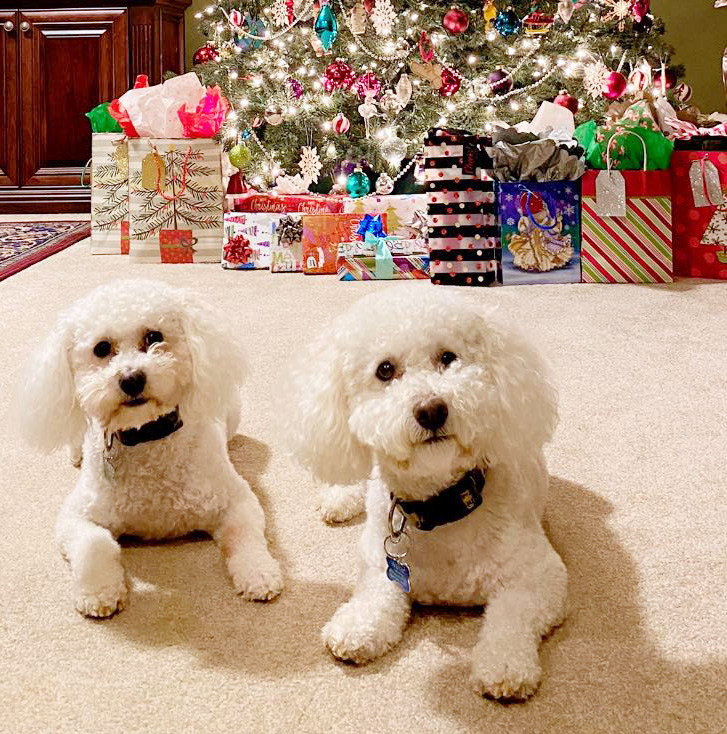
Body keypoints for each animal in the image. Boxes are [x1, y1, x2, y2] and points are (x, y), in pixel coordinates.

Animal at [13, 282, 284, 620]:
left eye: (154, 336)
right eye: (101, 348)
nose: (131, 379)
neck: (146, 437)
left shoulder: (237, 500)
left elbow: (245, 535)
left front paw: (259, 573)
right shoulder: (76, 516)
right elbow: (95, 544)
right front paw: (98, 592)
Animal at [286, 286, 568, 700]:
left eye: (448, 358)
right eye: (385, 370)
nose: (432, 410)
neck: (440, 507)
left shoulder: (542, 576)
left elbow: (512, 616)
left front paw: (504, 664)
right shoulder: (377, 562)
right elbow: (376, 596)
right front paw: (357, 625)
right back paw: (340, 498)